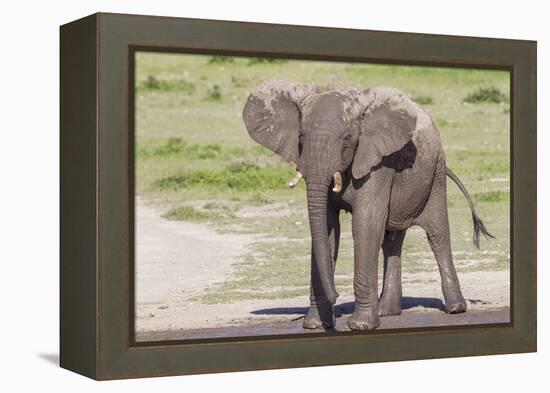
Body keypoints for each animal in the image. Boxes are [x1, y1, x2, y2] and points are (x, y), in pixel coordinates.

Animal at [244, 79, 494, 328]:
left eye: (347, 140)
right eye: (301, 139)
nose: (336, 296)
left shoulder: (378, 163)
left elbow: (365, 224)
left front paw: (360, 325)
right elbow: (327, 228)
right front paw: (315, 325)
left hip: (436, 174)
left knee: (438, 234)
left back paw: (455, 308)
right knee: (391, 240)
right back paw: (387, 311)